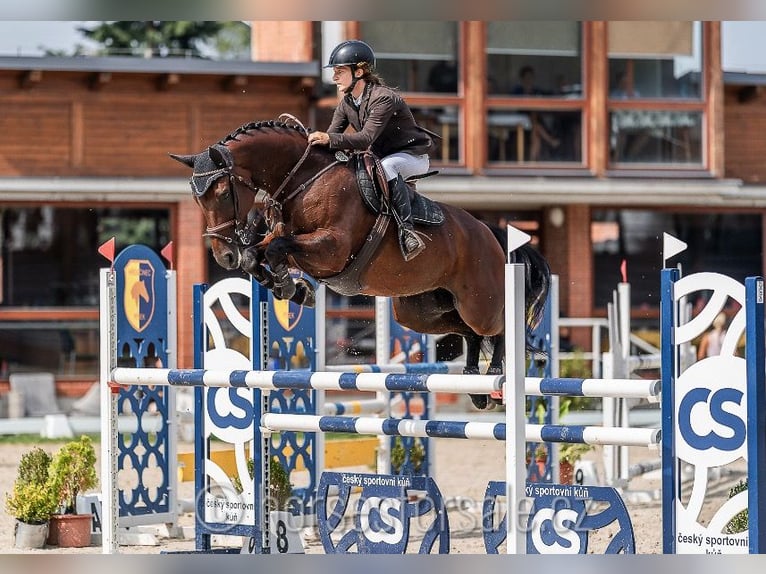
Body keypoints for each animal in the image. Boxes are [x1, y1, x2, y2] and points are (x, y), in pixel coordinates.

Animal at [170, 117, 552, 410]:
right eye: (196, 199)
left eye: (222, 193)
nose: (223, 256)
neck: (303, 180)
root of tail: (490, 232)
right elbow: (258, 254)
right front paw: (293, 288)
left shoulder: (331, 249)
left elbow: (278, 248)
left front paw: (292, 286)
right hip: (421, 311)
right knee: (470, 333)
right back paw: (474, 386)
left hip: (478, 302)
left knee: (499, 328)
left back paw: (495, 381)